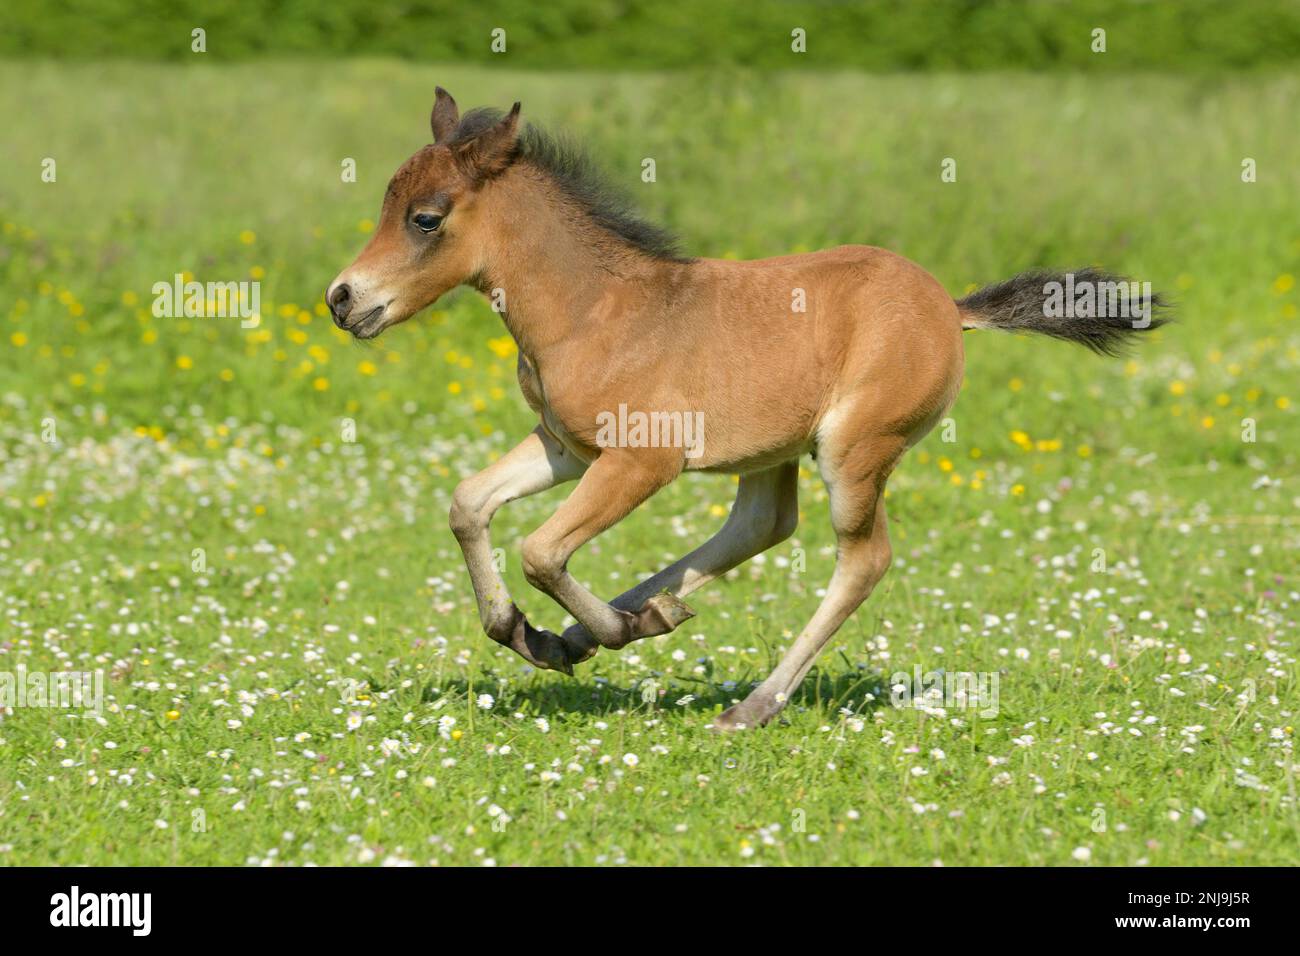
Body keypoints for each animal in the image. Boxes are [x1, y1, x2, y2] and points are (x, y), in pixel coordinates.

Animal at [327, 88, 1164, 729]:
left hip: (855, 449)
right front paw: (528, 632)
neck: (593, 311)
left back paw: (745, 701)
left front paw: (581, 631)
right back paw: (621, 624)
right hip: (774, 450)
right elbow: (469, 504)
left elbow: (540, 551)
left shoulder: (642, 459)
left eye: (426, 218)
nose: (343, 299)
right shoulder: (566, 446)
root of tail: (950, 309)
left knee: (861, 559)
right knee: (761, 525)